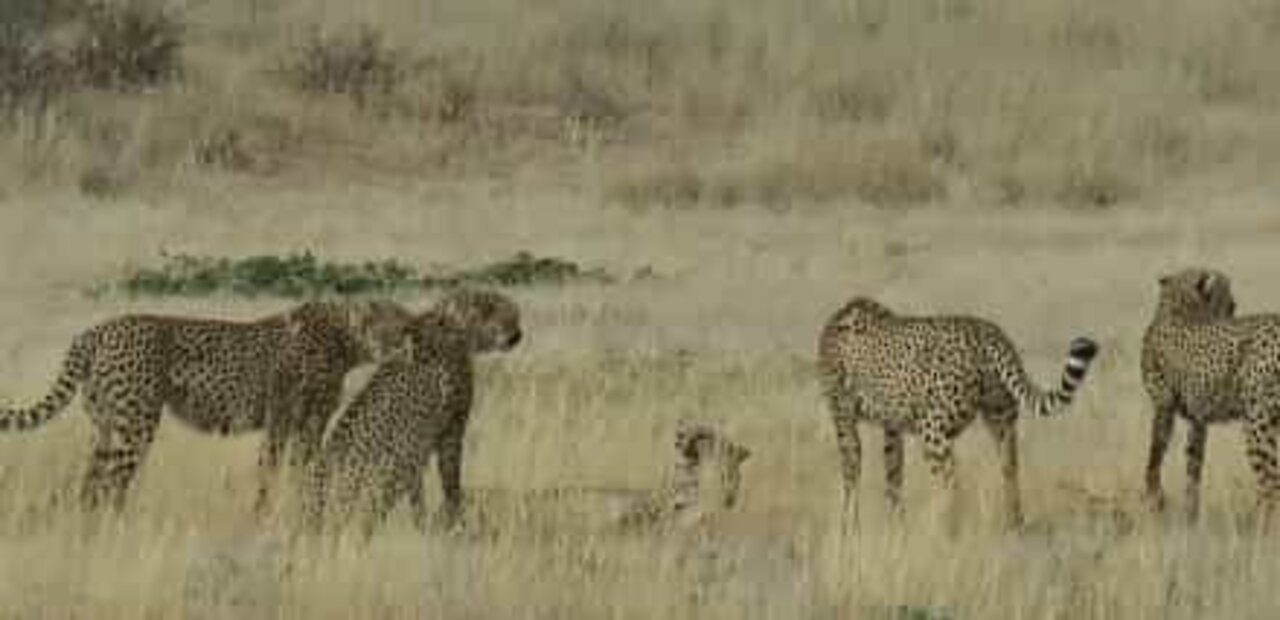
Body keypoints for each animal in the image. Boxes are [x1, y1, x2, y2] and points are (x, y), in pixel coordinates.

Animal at [0, 298, 412, 509]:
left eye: (403, 328)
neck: (345, 339)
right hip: (137, 425)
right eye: (387, 329)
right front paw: (263, 513)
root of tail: (96, 330)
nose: (400, 348)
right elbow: (270, 470)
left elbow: (303, 469)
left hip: (104, 426)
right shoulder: (282, 418)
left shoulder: (310, 423)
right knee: (113, 482)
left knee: (90, 482)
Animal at [303, 288, 519, 535]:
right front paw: (455, 517)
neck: (456, 325)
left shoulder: (417, 450)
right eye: (510, 318)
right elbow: (451, 480)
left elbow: (419, 495)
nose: (518, 335)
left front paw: (423, 524)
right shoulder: (449, 430)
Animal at [819, 298, 1100, 530]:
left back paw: (946, 532)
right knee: (1009, 469)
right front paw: (896, 527)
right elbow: (893, 474)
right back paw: (1014, 525)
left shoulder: (842, 416)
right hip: (1001, 419)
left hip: (933, 431)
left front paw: (849, 529)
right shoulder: (892, 426)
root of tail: (987, 331)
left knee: (951, 484)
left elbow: (851, 473)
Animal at [1141, 266, 1280, 522]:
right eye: (1227, 294)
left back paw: (1259, 523)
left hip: (1258, 420)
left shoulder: (1164, 405)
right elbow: (1192, 464)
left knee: (1270, 483)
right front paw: (1190, 515)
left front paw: (1155, 497)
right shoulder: (1197, 417)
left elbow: (1155, 452)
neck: (1179, 303)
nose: (1234, 304)